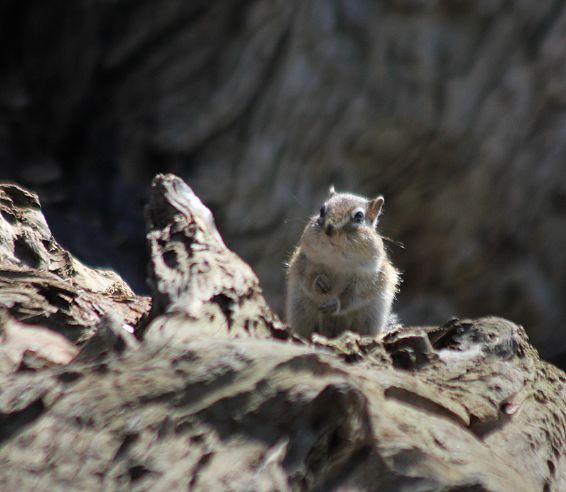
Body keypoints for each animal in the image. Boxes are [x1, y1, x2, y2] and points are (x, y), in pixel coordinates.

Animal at [286, 186, 402, 340]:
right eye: (321, 210)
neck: (337, 257)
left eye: (359, 216)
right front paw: (319, 281)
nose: (329, 229)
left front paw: (335, 303)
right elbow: (308, 279)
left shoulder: (368, 277)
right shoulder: (304, 262)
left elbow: (355, 295)